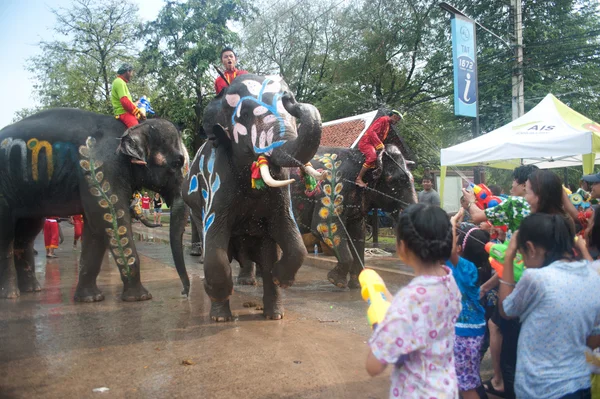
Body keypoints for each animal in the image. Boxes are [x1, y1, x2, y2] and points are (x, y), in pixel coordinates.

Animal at [0, 108, 190, 302]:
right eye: (177, 163)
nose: (184, 292)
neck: (132, 128)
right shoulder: (101, 169)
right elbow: (110, 221)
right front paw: (141, 298)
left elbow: (96, 229)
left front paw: (91, 298)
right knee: (6, 237)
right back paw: (11, 295)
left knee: (26, 234)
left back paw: (32, 289)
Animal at [184, 75, 322, 324]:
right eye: (246, 114)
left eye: (288, 99)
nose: (290, 99)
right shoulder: (217, 181)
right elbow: (215, 241)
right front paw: (220, 305)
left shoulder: (280, 190)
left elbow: (289, 232)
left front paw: (280, 278)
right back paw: (222, 315)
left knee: (267, 257)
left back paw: (274, 315)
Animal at [290, 145, 418, 290]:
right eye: (393, 181)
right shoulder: (333, 189)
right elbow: (323, 228)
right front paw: (336, 281)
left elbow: (358, 234)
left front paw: (357, 285)